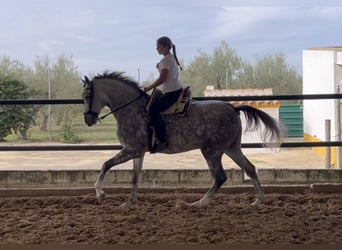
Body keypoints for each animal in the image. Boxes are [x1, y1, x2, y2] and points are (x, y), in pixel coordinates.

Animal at [81, 71, 282, 208]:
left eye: (87, 96)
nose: (88, 120)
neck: (132, 109)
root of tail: (233, 108)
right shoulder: (137, 152)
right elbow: (134, 177)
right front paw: (130, 202)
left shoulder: (131, 150)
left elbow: (106, 164)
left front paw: (100, 194)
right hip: (231, 148)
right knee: (250, 168)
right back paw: (259, 200)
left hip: (212, 151)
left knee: (219, 177)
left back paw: (197, 204)